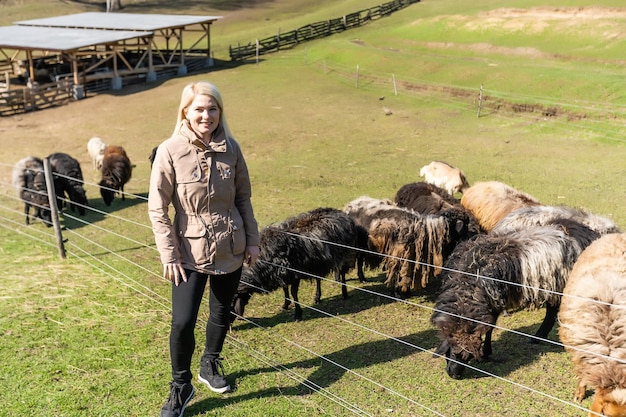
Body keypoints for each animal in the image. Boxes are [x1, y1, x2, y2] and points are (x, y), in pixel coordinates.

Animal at [428, 219, 600, 378]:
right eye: (452, 352)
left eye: (467, 356)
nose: (454, 375)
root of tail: (589, 233)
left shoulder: (494, 300)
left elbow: (490, 327)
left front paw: (486, 352)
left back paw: (540, 336)